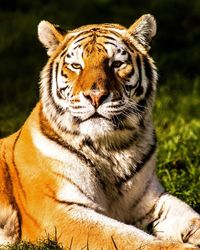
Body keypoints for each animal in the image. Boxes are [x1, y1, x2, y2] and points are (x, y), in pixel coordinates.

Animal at [0, 14, 200, 250]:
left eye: (117, 64)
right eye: (76, 66)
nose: (95, 96)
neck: (110, 148)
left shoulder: (151, 201)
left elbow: (189, 217)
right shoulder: (59, 210)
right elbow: (126, 237)